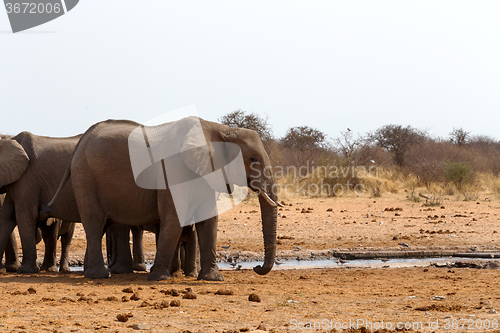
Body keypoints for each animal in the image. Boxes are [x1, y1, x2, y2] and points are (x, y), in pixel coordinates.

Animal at [43, 115, 282, 278]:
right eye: (252, 159)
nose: (257, 267)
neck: (221, 130)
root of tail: (81, 141)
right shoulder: (173, 169)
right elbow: (175, 217)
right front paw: (159, 278)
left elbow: (209, 221)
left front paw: (213, 279)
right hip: (85, 176)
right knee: (94, 222)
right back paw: (100, 275)